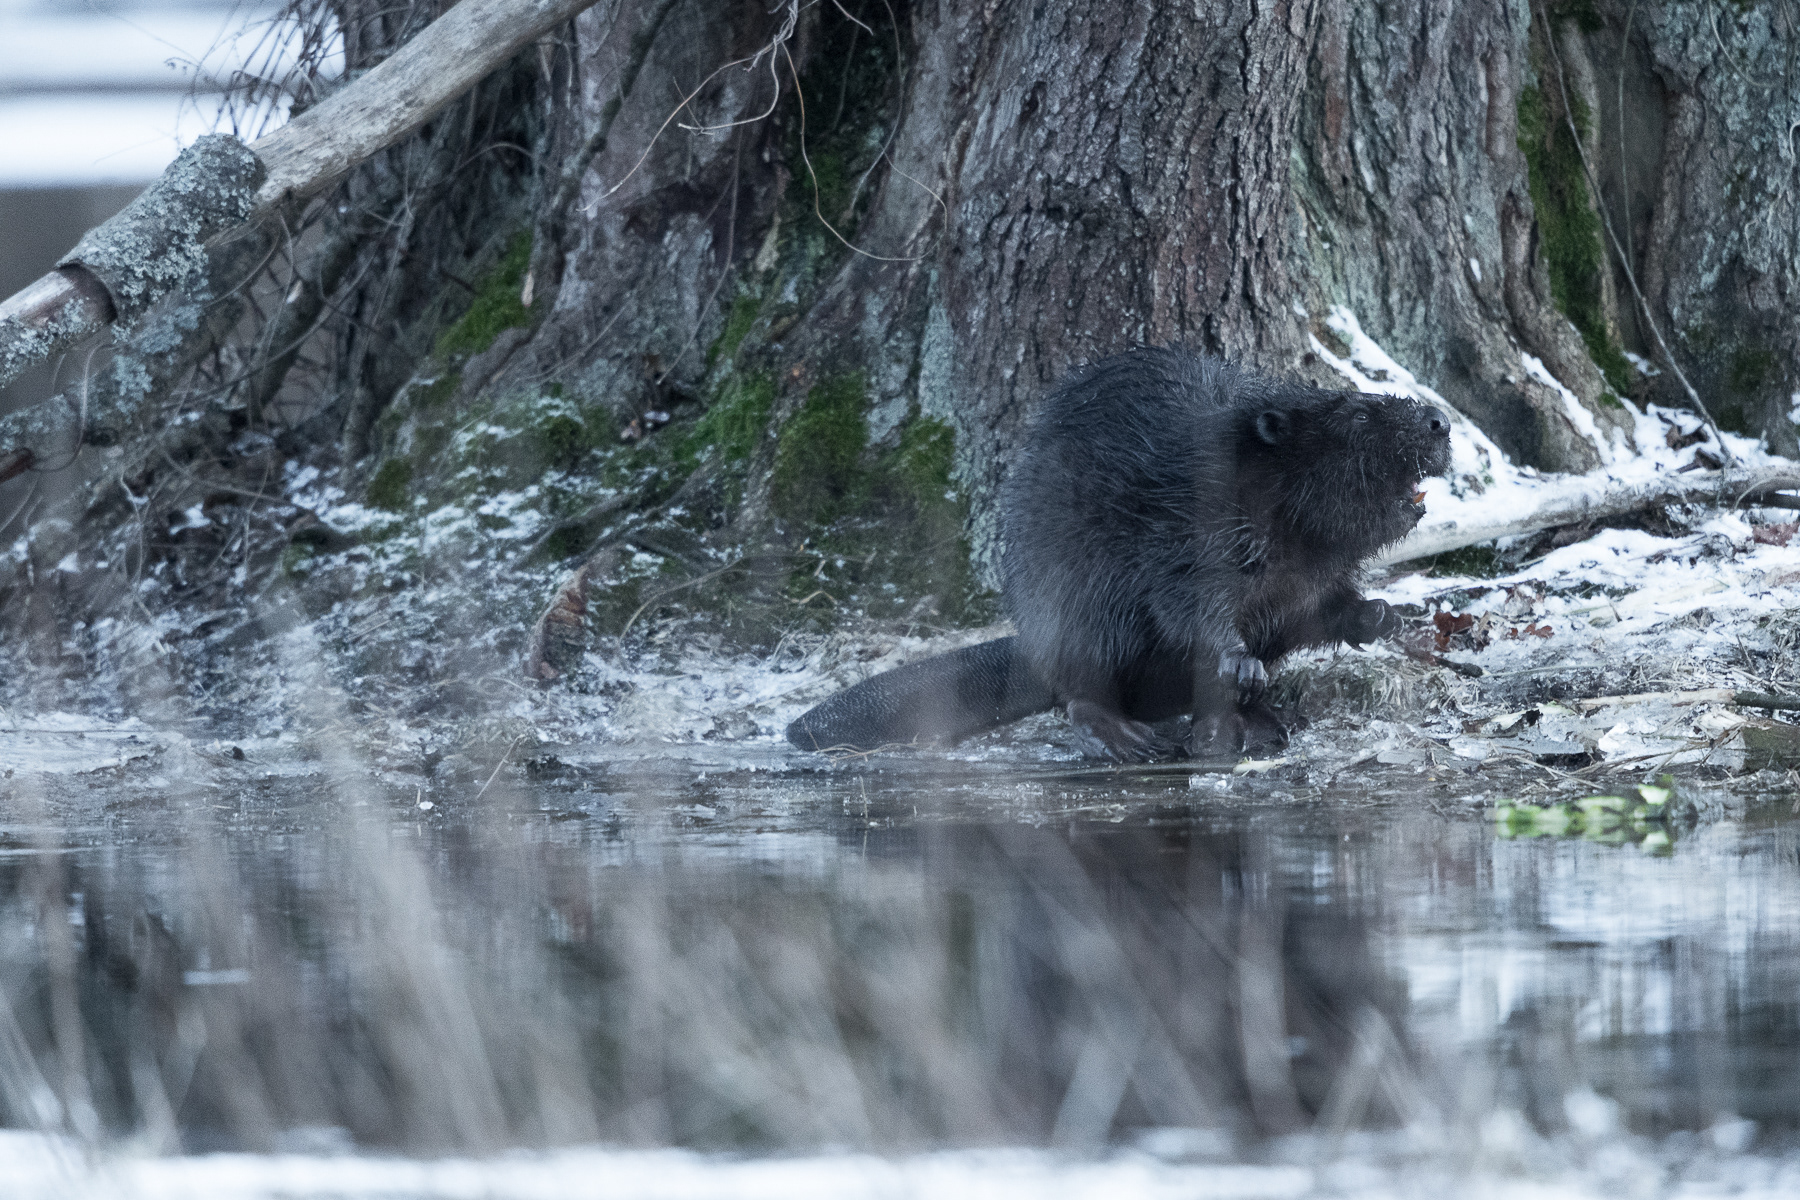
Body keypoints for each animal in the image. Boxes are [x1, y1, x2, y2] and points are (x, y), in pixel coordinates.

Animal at [786, 348, 1452, 760]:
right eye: (1359, 412)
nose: (1441, 422)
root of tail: (1026, 653)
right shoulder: (1189, 524)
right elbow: (1188, 603)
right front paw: (1239, 662)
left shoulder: (1311, 574)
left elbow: (1320, 611)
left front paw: (1384, 615)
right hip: (1083, 621)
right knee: (1081, 692)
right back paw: (1136, 737)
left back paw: (1262, 719)